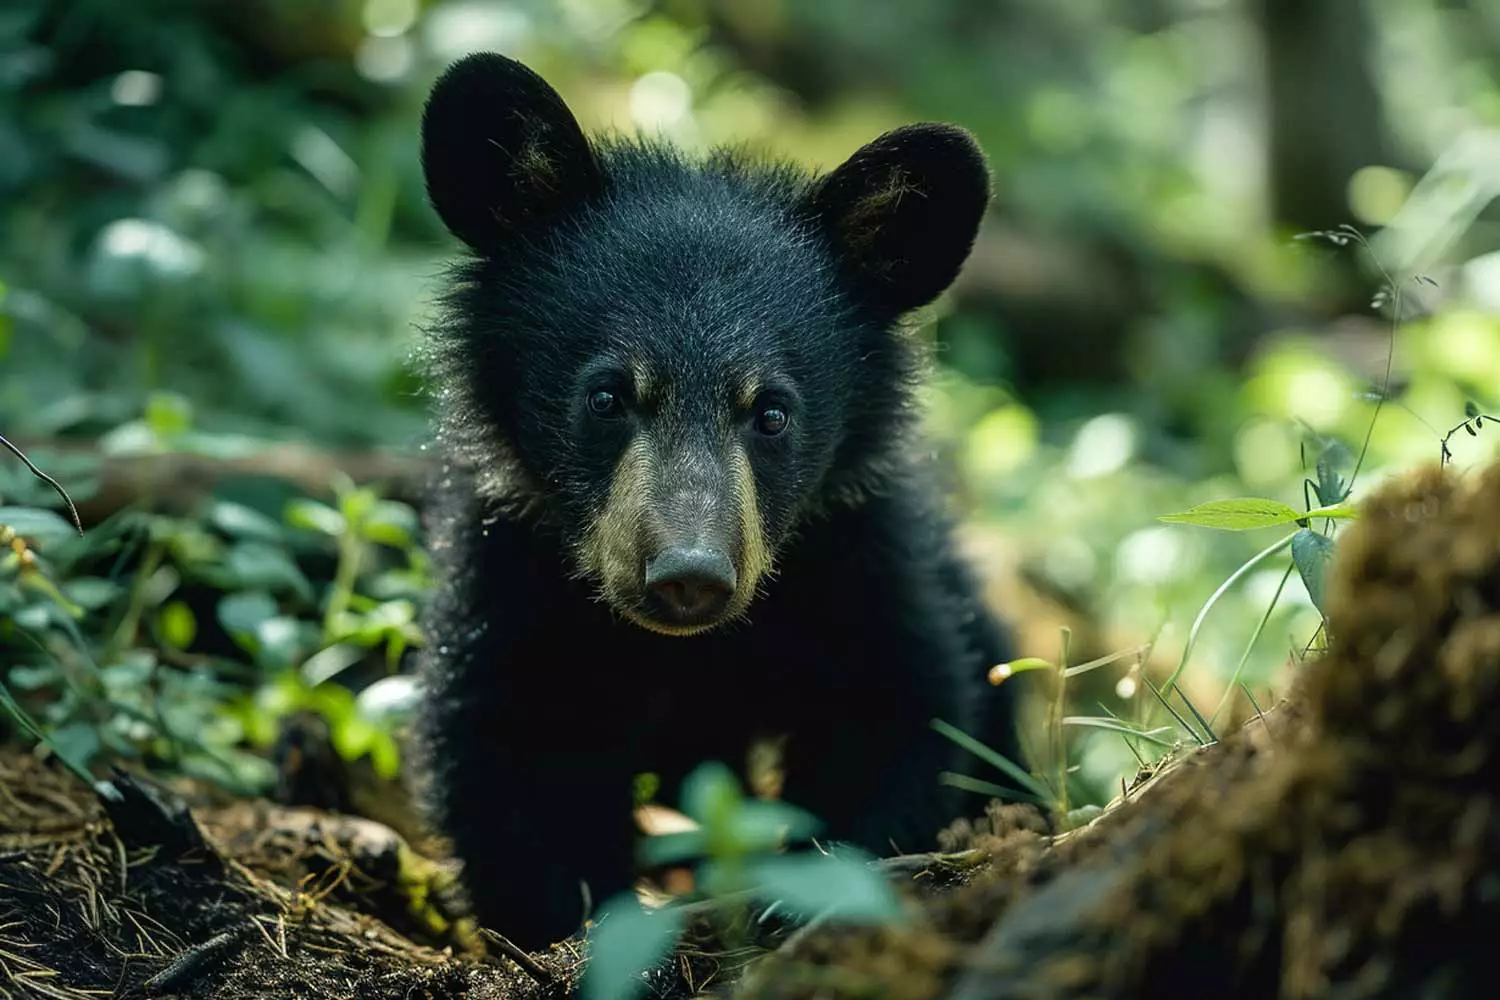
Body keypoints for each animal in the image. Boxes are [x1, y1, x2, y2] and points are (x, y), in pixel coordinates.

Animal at [411, 51, 1020, 951]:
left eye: (771, 412)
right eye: (607, 396)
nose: (687, 577)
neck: (686, 652)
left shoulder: (857, 557)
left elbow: (898, 707)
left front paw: (801, 899)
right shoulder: (510, 561)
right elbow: (508, 744)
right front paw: (575, 929)